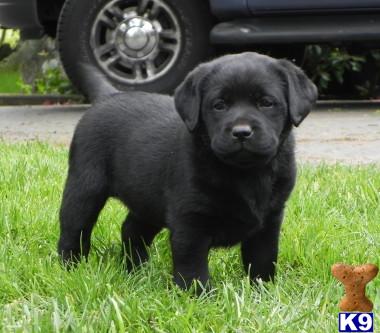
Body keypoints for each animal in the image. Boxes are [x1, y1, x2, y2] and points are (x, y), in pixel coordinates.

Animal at [58, 52, 316, 288]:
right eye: (219, 105)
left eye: (266, 103)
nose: (241, 132)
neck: (246, 174)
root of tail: (109, 95)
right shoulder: (190, 221)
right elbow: (192, 266)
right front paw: (199, 296)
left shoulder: (269, 219)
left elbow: (263, 259)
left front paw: (263, 291)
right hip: (85, 188)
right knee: (74, 229)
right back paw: (70, 269)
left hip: (148, 201)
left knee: (131, 229)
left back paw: (136, 270)